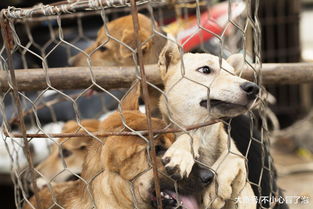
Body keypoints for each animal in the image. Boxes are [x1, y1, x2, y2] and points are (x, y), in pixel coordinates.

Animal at [157, 41, 258, 209]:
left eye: (233, 74)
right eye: (205, 69)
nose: (253, 88)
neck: (205, 133)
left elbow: (235, 156)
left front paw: (217, 185)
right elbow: (190, 136)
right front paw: (182, 152)